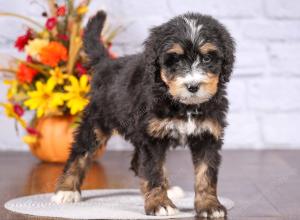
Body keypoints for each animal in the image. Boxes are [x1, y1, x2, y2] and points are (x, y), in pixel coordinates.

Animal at [51, 10, 234, 218]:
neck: (184, 105)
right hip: (97, 122)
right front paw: (160, 203)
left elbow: (206, 173)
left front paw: (209, 205)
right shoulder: (152, 138)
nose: (193, 86)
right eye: (176, 59)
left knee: (137, 162)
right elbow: (154, 170)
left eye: (207, 59)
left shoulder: (207, 136)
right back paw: (66, 190)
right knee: (80, 152)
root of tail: (107, 63)